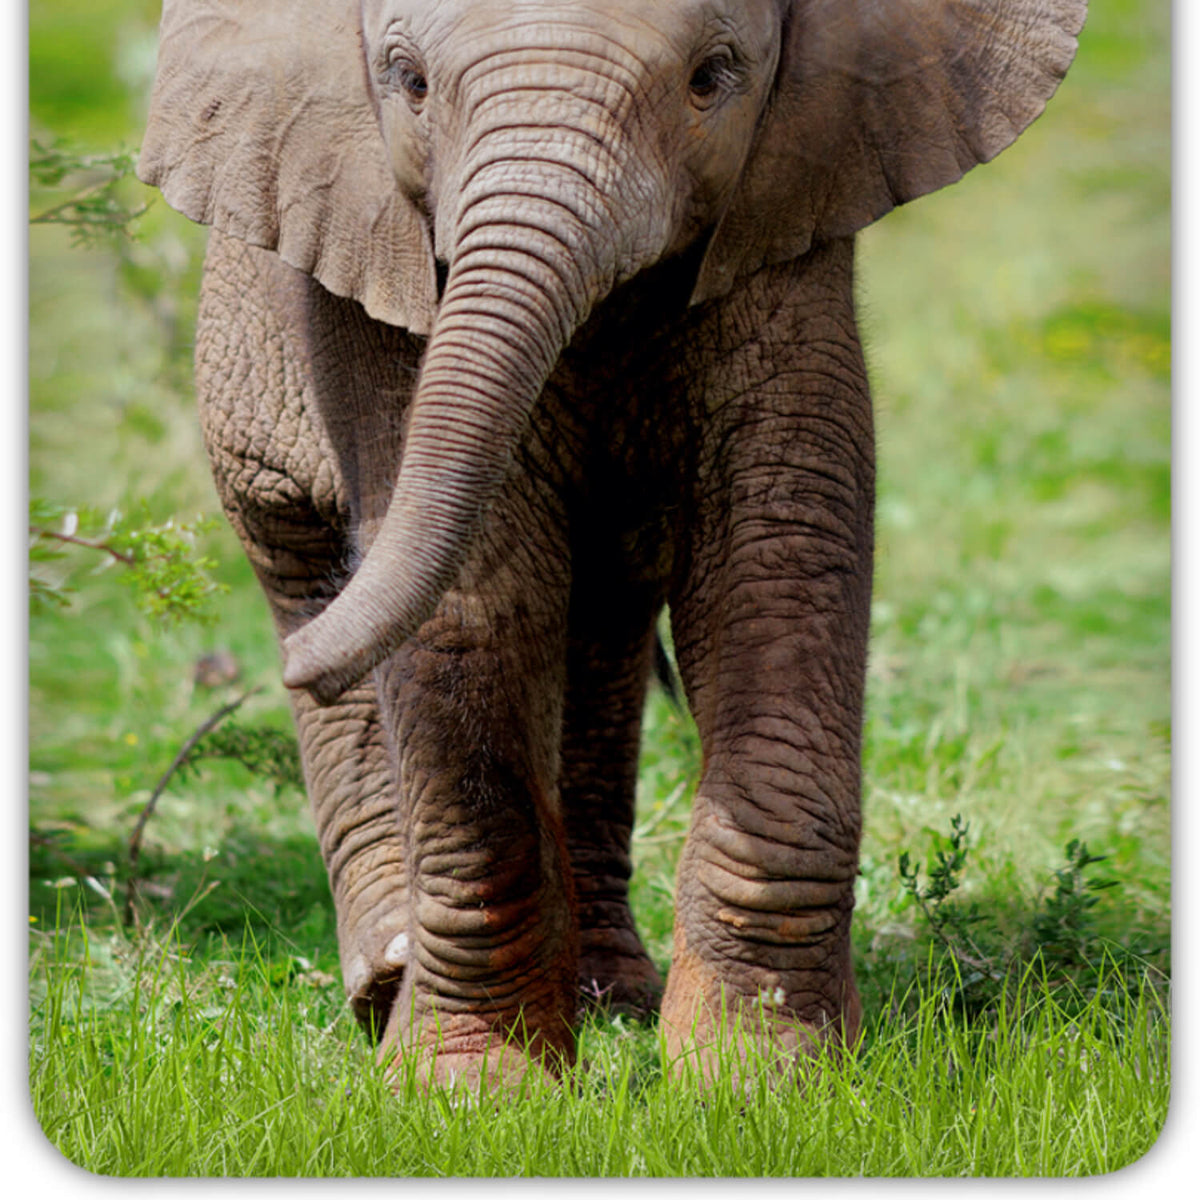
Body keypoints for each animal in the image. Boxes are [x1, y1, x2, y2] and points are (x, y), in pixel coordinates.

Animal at [138, 0, 1086, 1088]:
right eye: (407, 82)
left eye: (713, 77)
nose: (286, 667)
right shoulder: (373, 268)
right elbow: (474, 579)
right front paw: (474, 1089)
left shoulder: (785, 217)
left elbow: (782, 541)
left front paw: (762, 1076)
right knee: (310, 563)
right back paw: (390, 981)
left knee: (598, 625)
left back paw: (611, 999)